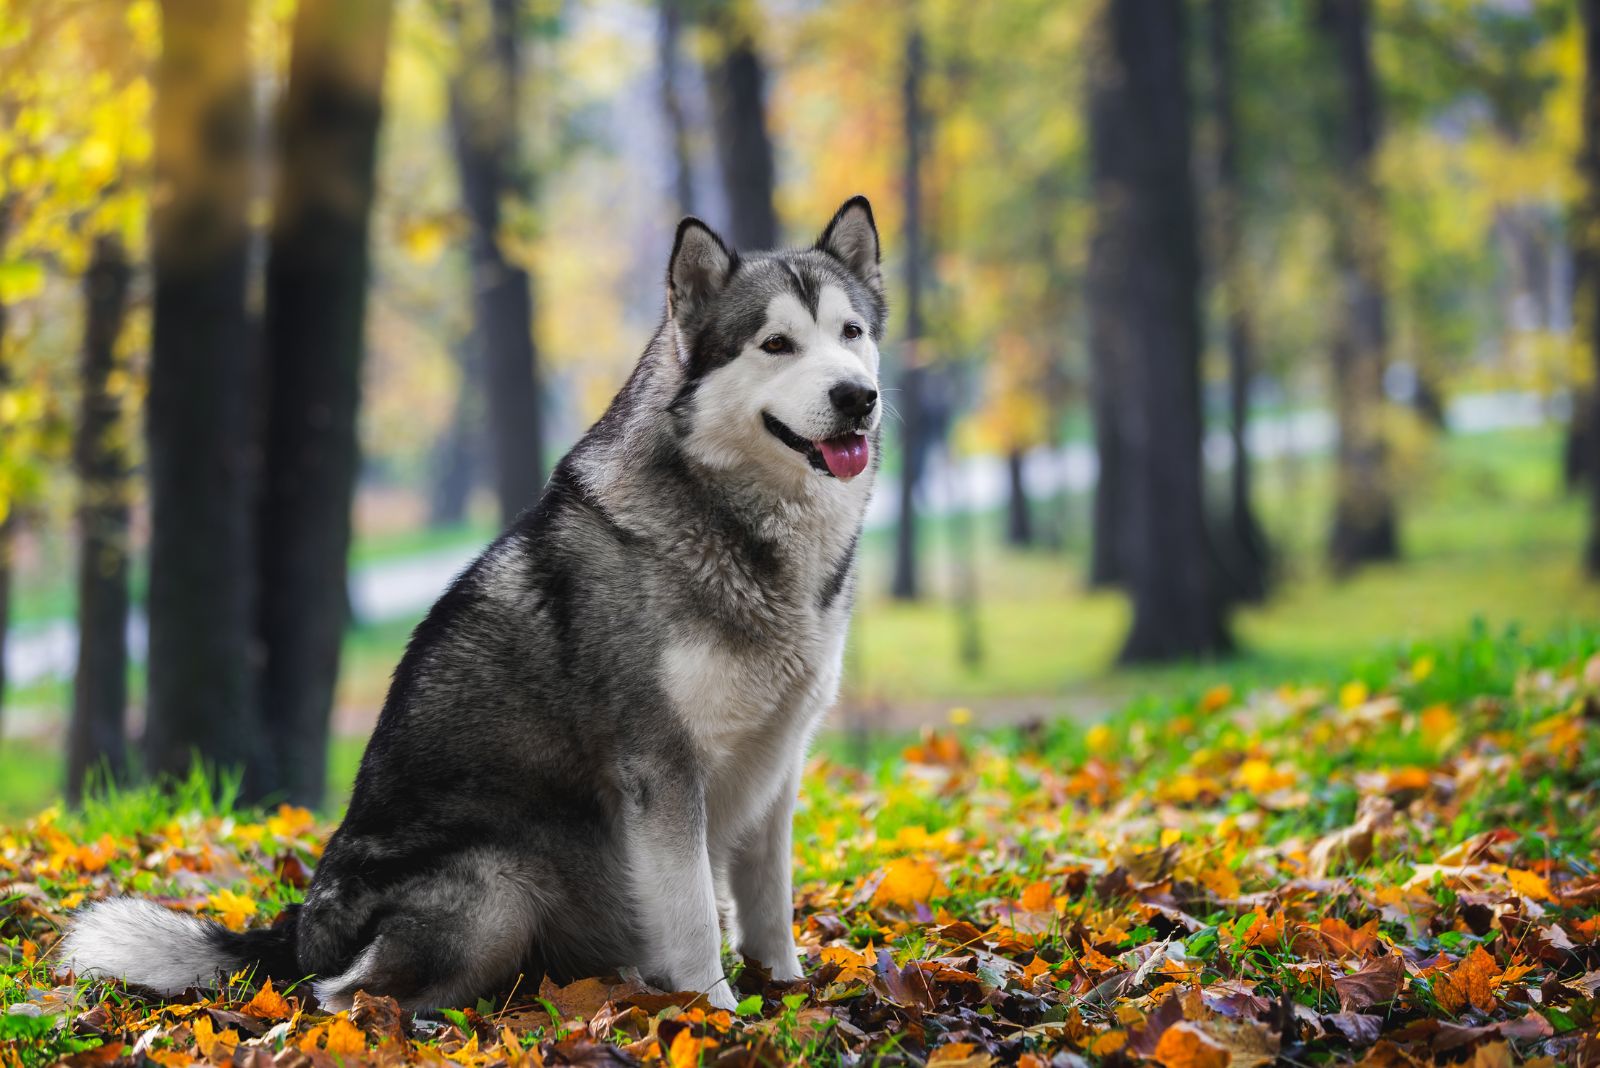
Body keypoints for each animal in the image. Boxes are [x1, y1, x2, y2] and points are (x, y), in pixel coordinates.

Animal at [59, 198, 889, 1010]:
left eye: (850, 333)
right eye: (776, 344)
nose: (857, 396)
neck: (740, 525)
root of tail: (298, 933)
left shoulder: (777, 764)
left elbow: (769, 904)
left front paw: (787, 993)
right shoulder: (662, 769)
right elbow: (691, 918)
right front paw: (716, 1016)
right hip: (496, 883)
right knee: (342, 995)